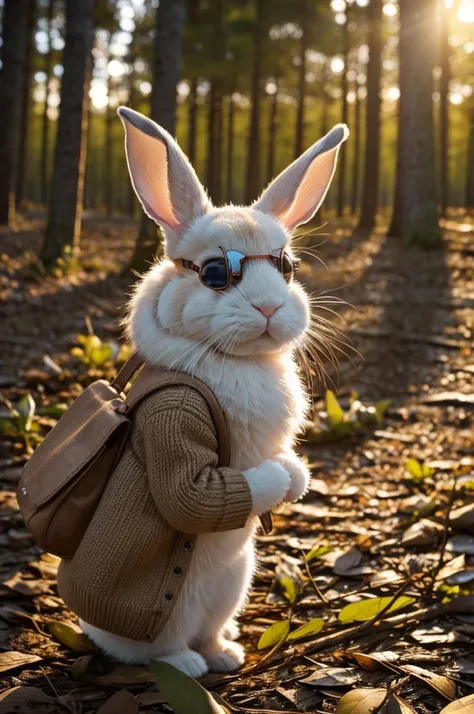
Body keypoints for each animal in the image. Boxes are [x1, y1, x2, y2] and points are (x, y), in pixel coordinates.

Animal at [78, 105, 348, 672]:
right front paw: (278, 478)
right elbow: (192, 496)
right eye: (216, 273)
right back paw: (186, 665)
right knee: (154, 650)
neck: (235, 359)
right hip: (170, 610)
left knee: (209, 630)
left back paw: (226, 654)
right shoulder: (176, 418)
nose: (270, 308)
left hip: (232, 586)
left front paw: (296, 475)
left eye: (287, 267)